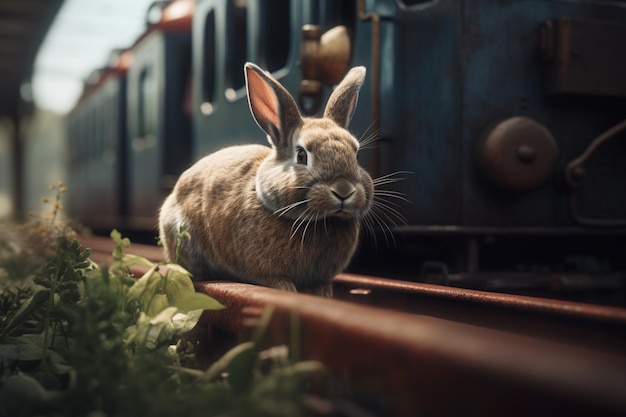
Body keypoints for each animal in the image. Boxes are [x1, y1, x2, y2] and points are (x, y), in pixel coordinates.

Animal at [158, 61, 370, 296]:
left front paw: (323, 293)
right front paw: (287, 289)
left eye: (356, 154)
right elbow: (272, 279)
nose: (343, 190)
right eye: (302, 155)